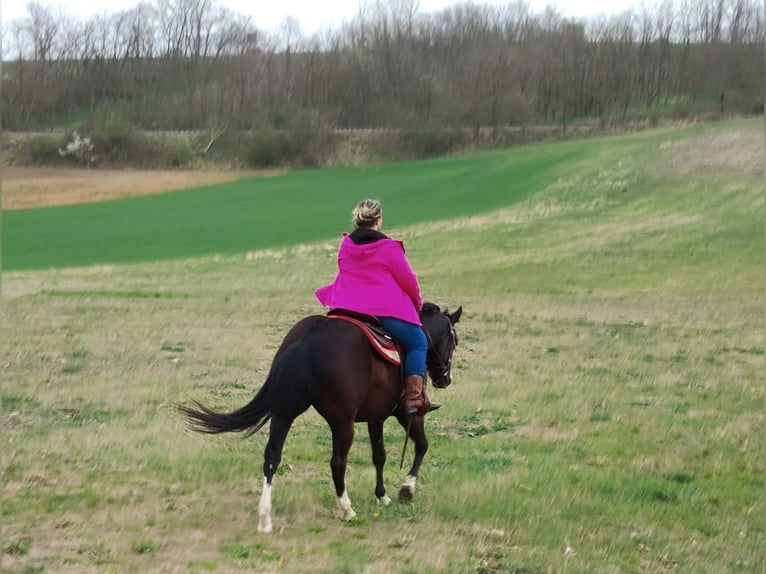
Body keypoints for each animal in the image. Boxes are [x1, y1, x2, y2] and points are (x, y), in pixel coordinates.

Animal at [179, 302, 462, 533]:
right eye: (454, 341)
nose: (445, 379)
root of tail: (308, 337)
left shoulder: (376, 418)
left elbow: (379, 456)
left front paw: (382, 495)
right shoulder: (405, 414)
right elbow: (422, 446)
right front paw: (406, 489)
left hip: (284, 412)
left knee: (272, 456)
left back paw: (265, 518)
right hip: (342, 422)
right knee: (337, 462)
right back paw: (346, 509)